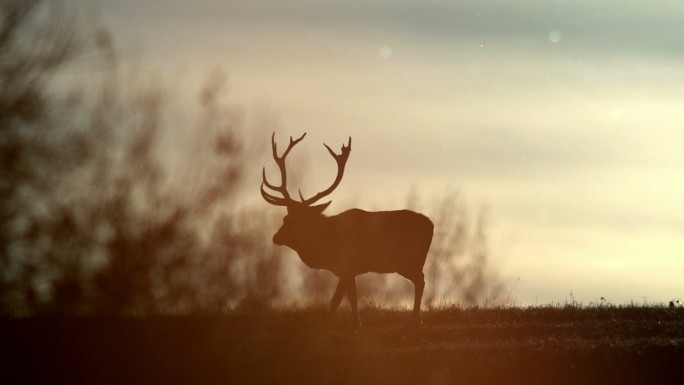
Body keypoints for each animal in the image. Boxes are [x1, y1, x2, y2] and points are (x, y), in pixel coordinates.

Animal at [260, 133, 432, 328]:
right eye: (285, 218)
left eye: (296, 221)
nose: (276, 237)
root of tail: (432, 224)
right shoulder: (348, 271)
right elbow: (350, 298)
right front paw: (355, 324)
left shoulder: (347, 265)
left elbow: (337, 300)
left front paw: (335, 326)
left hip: (408, 261)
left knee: (421, 280)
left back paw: (417, 319)